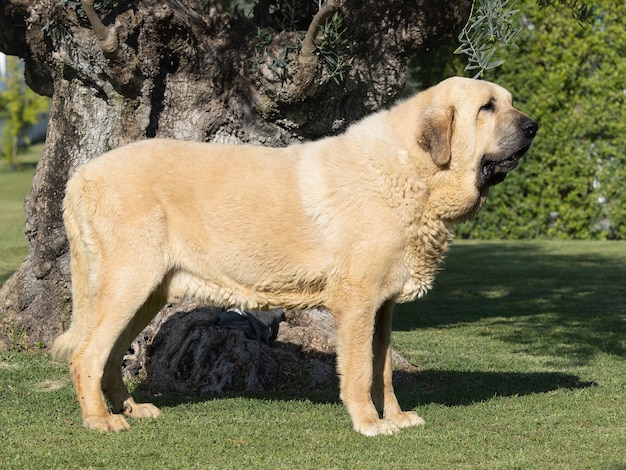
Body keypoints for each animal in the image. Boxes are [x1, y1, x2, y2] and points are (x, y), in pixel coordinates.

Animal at [51, 76, 532, 436]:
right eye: (487, 107)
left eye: (509, 103)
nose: (534, 126)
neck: (414, 169)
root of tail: (81, 175)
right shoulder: (357, 301)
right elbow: (359, 370)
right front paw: (369, 423)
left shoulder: (383, 305)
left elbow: (383, 369)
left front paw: (395, 417)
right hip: (128, 283)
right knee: (87, 356)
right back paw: (99, 421)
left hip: (147, 294)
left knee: (109, 357)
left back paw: (130, 409)